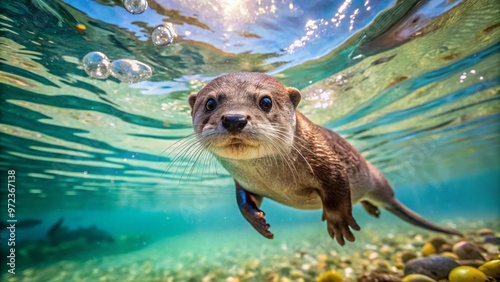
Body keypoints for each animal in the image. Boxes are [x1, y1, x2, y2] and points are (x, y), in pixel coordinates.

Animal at [188, 72, 460, 245]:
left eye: (265, 101)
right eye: (210, 103)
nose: (234, 119)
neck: (274, 178)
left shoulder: (327, 159)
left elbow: (337, 189)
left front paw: (338, 221)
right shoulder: (244, 182)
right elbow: (243, 200)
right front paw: (258, 222)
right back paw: (371, 208)